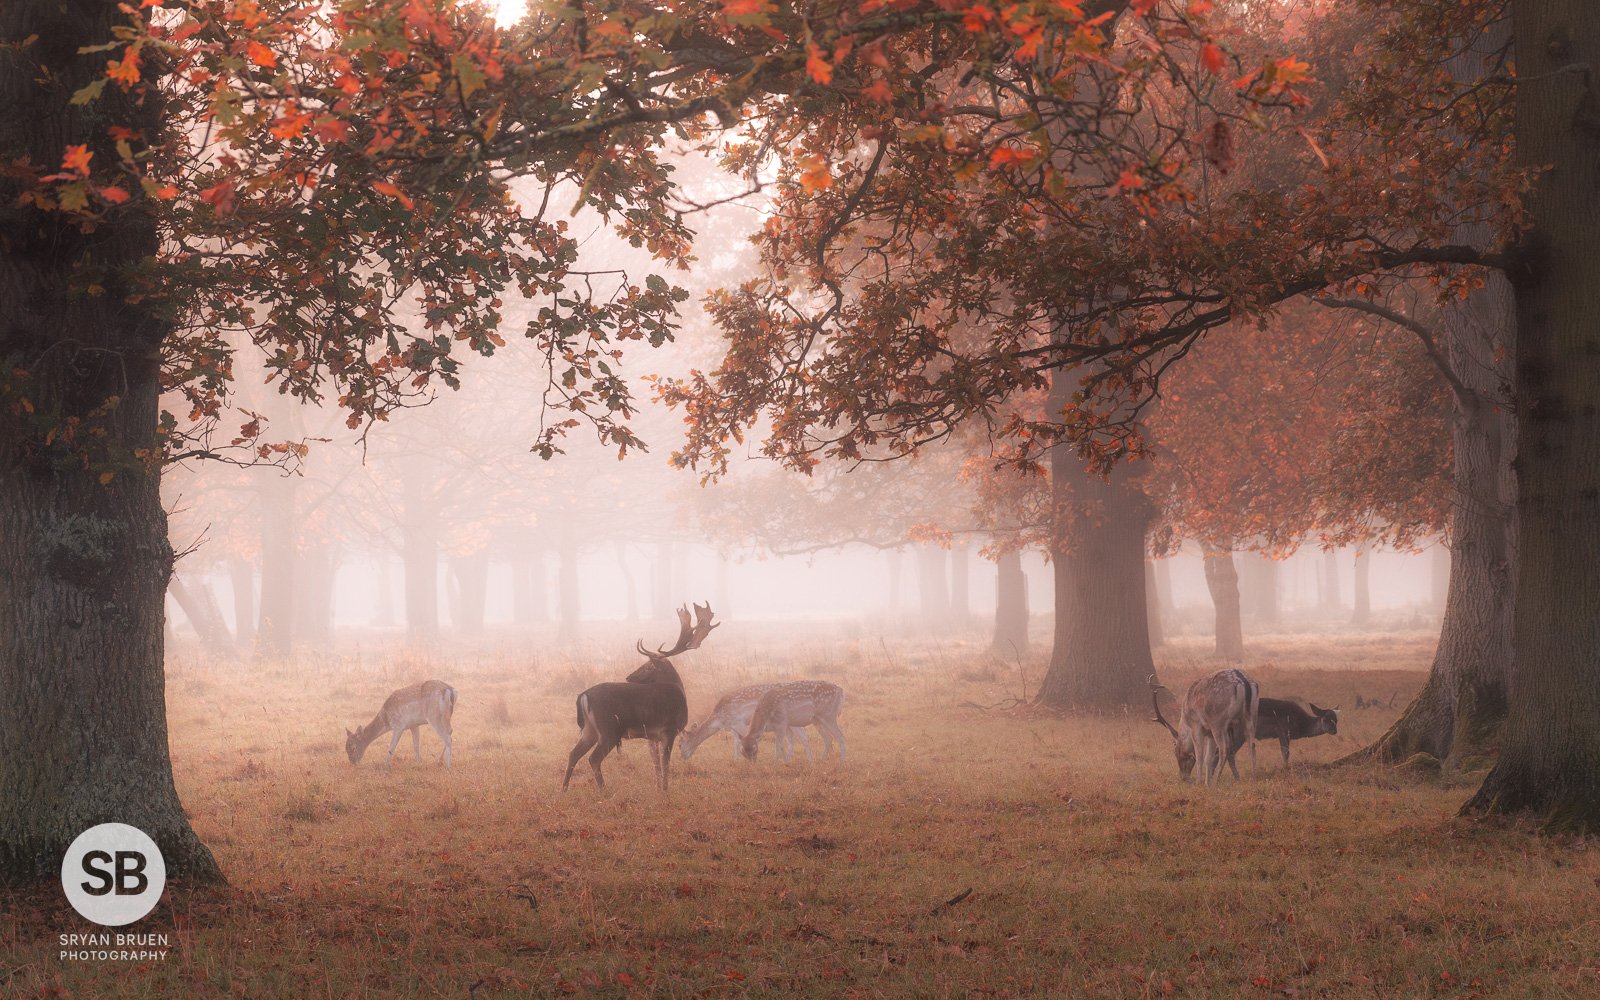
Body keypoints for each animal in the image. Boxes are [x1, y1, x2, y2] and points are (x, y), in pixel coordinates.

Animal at [562, 602, 717, 793]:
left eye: (648, 666)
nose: (629, 677)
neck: (679, 691)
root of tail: (583, 696)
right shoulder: (669, 728)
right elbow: (665, 763)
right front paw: (665, 790)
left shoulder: (652, 735)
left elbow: (656, 763)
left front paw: (658, 788)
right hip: (609, 729)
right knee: (593, 758)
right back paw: (604, 792)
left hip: (589, 729)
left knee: (573, 754)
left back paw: (563, 789)